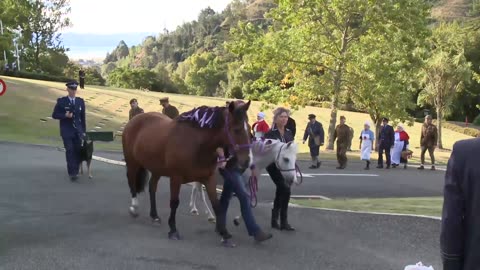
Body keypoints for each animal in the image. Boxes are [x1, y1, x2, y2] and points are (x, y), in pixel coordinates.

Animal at [122, 100, 253, 239]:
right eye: (237, 130)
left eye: (250, 129)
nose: (247, 161)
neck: (196, 145)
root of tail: (134, 119)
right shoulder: (176, 178)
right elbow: (174, 202)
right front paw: (173, 229)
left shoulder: (209, 179)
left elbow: (216, 205)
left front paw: (224, 232)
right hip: (132, 163)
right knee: (132, 182)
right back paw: (134, 208)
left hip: (157, 169)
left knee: (152, 188)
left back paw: (154, 216)